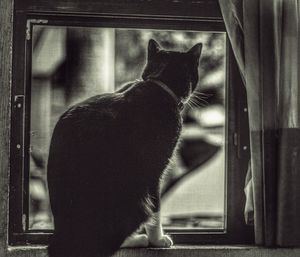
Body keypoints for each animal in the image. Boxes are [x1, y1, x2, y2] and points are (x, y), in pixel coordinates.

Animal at [47, 38, 202, 256]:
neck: (157, 86)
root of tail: (62, 237)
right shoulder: (153, 170)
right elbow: (155, 206)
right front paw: (158, 240)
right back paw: (138, 239)